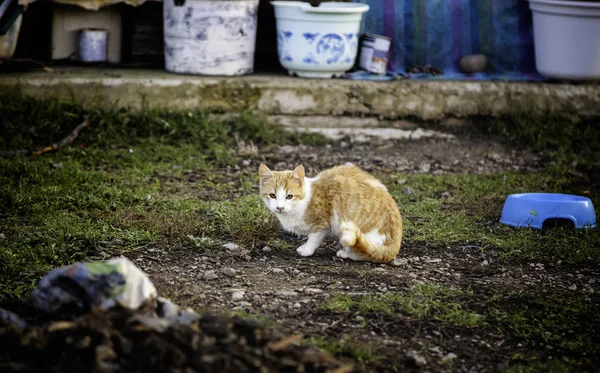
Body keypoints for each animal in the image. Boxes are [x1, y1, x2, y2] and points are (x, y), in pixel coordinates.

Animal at [258, 162, 404, 262]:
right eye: (272, 195)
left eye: (289, 196)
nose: (280, 207)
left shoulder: (321, 224)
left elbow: (313, 239)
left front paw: (307, 250)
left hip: (350, 232)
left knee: (364, 253)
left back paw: (346, 253)